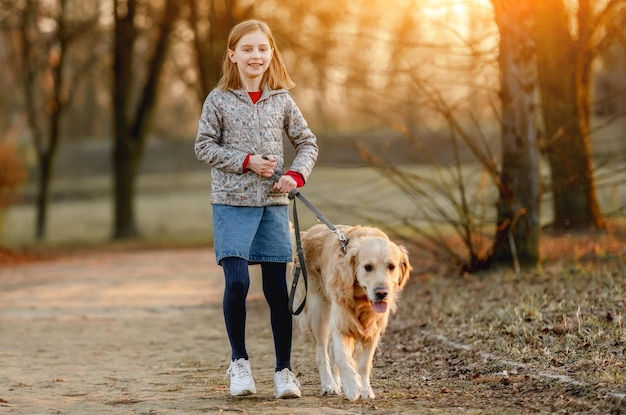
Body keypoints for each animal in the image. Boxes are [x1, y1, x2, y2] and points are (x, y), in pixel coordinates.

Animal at [292, 226, 410, 402]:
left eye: (391, 266)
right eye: (368, 267)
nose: (381, 293)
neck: (362, 300)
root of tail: (308, 232)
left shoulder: (373, 329)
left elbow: (363, 364)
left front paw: (366, 389)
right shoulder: (341, 323)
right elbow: (343, 359)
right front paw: (352, 387)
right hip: (318, 312)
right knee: (322, 353)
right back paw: (329, 385)